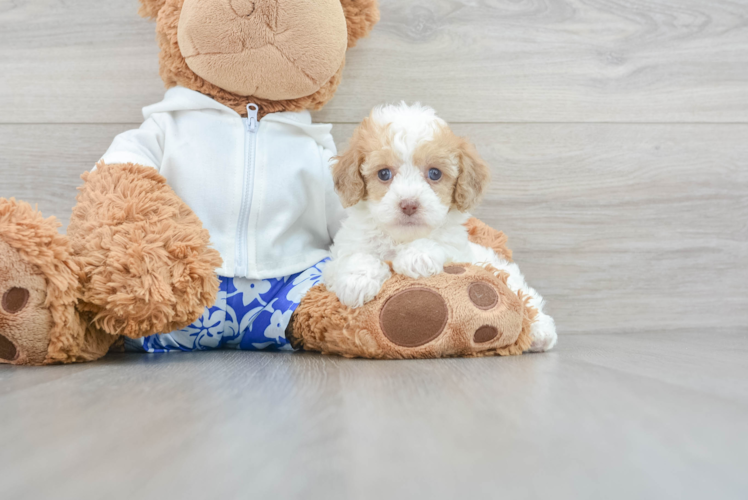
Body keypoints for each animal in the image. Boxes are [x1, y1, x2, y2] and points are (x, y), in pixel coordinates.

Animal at [324, 101, 560, 352]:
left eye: (435, 173)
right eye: (384, 173)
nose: (409, 204)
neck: (402, 238)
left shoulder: (457, 251)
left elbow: (437, 246)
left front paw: (417, 257)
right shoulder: (338, 257)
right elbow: (355, 257)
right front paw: (357, 281)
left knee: (528, 298)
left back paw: (540, 333)